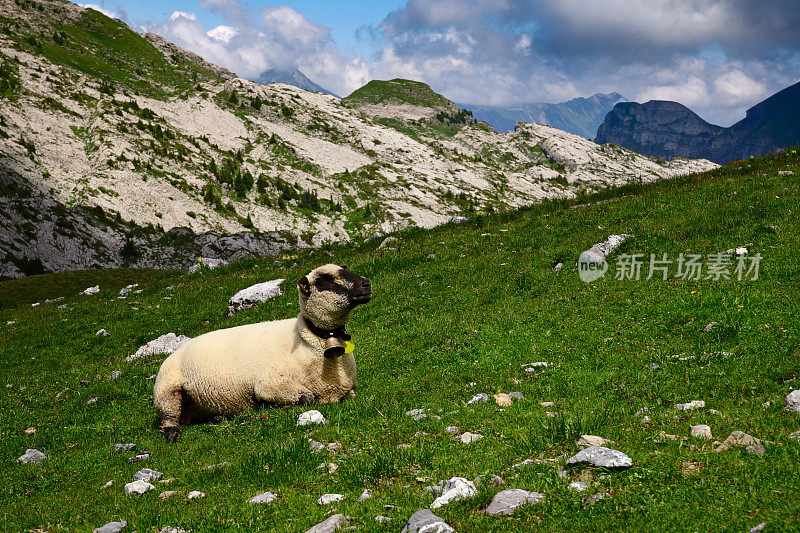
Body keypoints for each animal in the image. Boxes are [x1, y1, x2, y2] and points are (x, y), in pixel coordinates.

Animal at [155, 262, 374, 440]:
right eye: (324, 281)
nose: (366, 283)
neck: (307, 341)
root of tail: (177, 350)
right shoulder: (268, 384)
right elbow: (306, 397)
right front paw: (265, 405)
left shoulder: (347, 388)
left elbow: (349, 394)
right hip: (166, 391)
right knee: (169, 417)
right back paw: (172, 434)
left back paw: (218, 416)